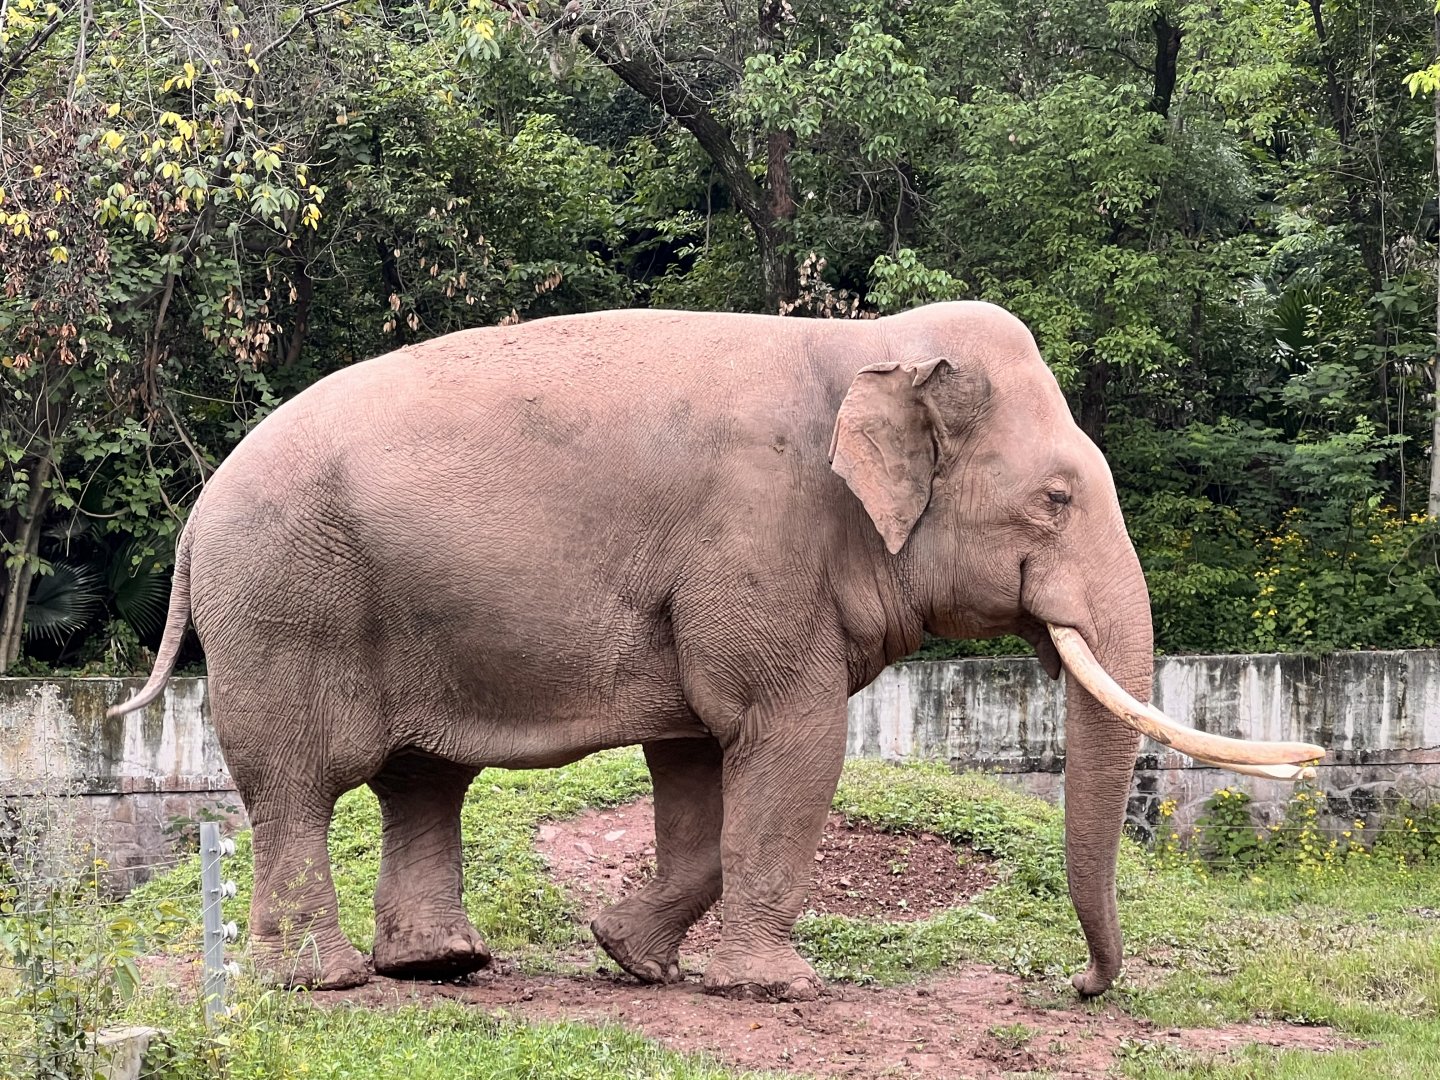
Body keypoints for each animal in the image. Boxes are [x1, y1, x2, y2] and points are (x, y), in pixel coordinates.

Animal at [110, 301, 1323, 1001]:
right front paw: (781, 989)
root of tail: (195, 514)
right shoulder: (758, 538)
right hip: (286, 603)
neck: (870, 347)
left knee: (422, 779)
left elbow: (698, 758)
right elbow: (788, 733)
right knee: (300, 786)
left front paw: (632, 958)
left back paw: (444, 967)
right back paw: (321, 983)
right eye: (1056, 499)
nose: (1078, 988)